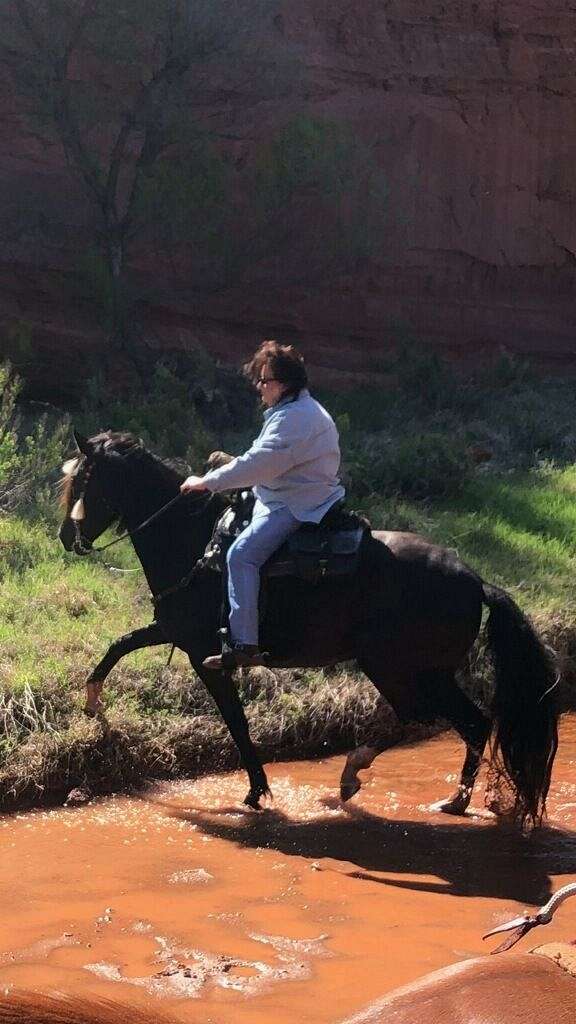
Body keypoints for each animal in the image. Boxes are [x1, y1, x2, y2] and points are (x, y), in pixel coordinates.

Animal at [59, 430, 557, 823]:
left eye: (84, 482)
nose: (67, 537)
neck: (195, 544)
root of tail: (475, 579)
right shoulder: (172, 630)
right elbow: (119, 645)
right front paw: (92, 702)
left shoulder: (204, 654)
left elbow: (236, 722)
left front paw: (256, 792)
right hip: (424, 672)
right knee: (463, 722)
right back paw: (438, 796)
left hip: (397, 668)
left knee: (432, 719)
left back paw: (372, 778)